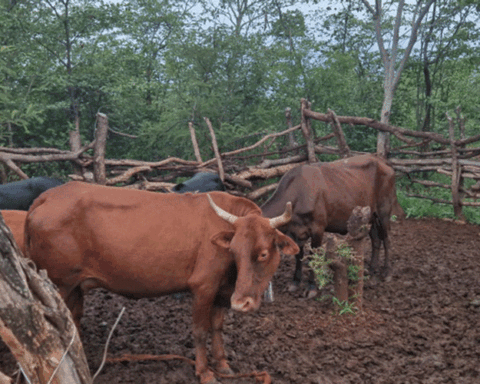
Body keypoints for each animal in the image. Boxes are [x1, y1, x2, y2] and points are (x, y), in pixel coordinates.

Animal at [25, 182, 300, 384]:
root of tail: (47, 196)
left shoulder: (221, 289)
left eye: (263, 253)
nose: (241, 303)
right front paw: (205, 372)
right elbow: (200, 330)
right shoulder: (203, 286)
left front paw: (223, 364)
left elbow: (217, 327)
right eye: (233, 250)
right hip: (58, 283)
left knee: (73, 319)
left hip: (74, 286)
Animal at [260, 154, 404, 296]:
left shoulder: (318, 229)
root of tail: (380, 159)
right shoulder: (296, 233)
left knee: (386, 240)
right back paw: (372, 273)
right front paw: (295, 282)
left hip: (384, 211)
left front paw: (312, 287)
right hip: (371, 216)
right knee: (376, 240)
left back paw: (387, 273)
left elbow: (313, 256)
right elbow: (299, 256)